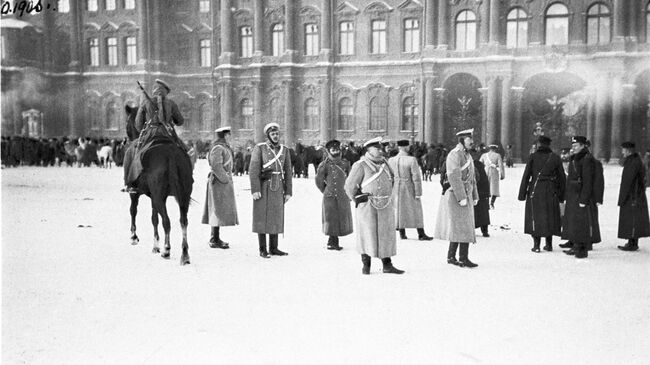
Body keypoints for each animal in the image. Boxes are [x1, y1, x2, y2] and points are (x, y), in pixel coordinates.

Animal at [122, 104, 191, 264]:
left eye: (128, 123)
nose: (126, 140)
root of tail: (170, 154)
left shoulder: (137, 193)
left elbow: (134, 211)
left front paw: (134, 237)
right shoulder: (155, 196)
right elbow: (154, 218)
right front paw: (155, 245)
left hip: (159, 196)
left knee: (167, 221)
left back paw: (167, 250)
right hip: (183, 195)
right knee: (183, 221)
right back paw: (185, 254)